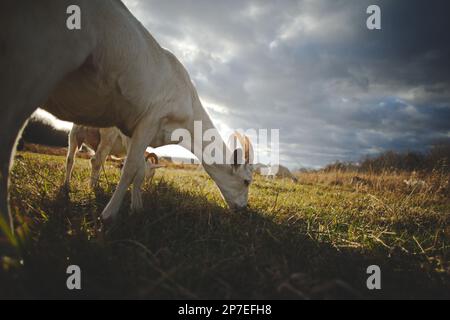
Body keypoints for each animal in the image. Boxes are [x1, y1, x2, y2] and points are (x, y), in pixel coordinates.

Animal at [0, 1, 253, 232]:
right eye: (246, 180)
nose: (243, 209)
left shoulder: (133, 131)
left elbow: (139, 170)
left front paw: (136, 208)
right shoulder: (150, 120)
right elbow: (130, 169)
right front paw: (108, 215)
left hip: (72, 130)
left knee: (70, 157)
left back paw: (66, 188)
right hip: (38, 66)